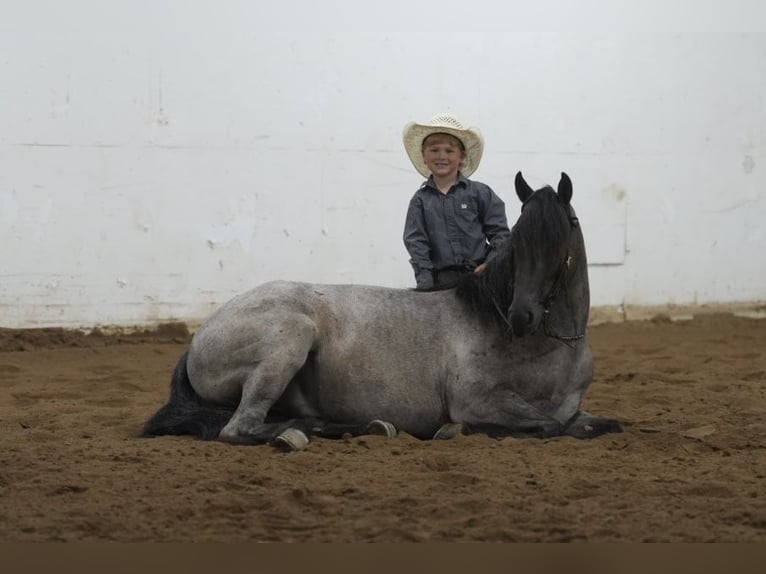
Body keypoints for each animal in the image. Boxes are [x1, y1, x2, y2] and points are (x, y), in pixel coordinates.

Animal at [141, 171, 623, 450]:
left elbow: (599, 425)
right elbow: (547, 426)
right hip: (290, 340)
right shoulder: (477, 401)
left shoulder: (574, 410)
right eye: (520, 239)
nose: (521, 315)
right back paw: (300, 434)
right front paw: (452, 431)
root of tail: (202, 335)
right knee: (238, 429)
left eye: (562, 238)